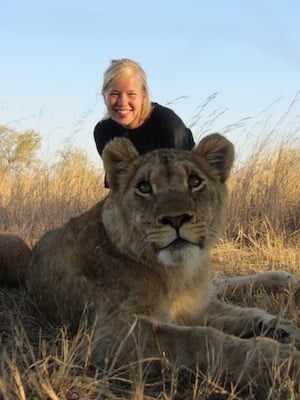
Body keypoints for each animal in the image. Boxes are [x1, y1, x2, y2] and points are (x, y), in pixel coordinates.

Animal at [25, 135, 300, 396]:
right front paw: (283, 360)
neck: (176, 273)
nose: (176, 219)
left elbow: (241, 312)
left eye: (194, 181)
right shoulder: (106, 334)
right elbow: (199, 338)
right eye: (144, 187)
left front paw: (280, 326)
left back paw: (284, 283)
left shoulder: (193, 304)